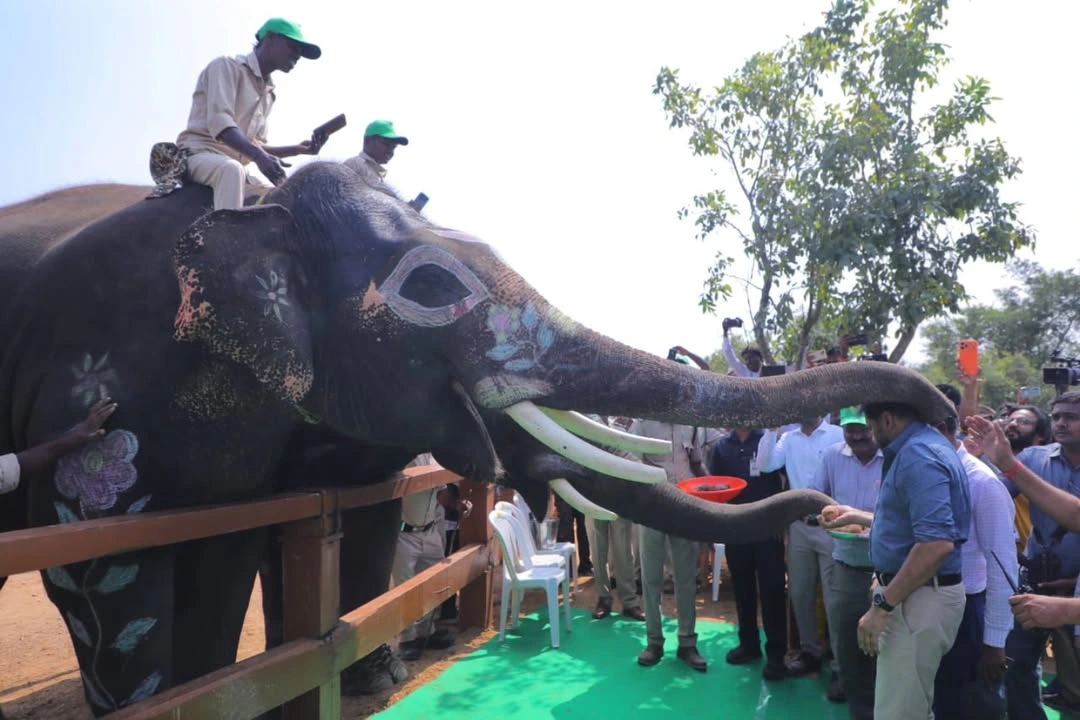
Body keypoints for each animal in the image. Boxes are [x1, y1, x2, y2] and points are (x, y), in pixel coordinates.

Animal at [0, 162, 955, 716]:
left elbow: (239, 548)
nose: (945, 415)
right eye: (430, 286)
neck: (257, 214)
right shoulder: (101, 383)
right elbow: (107, 565)